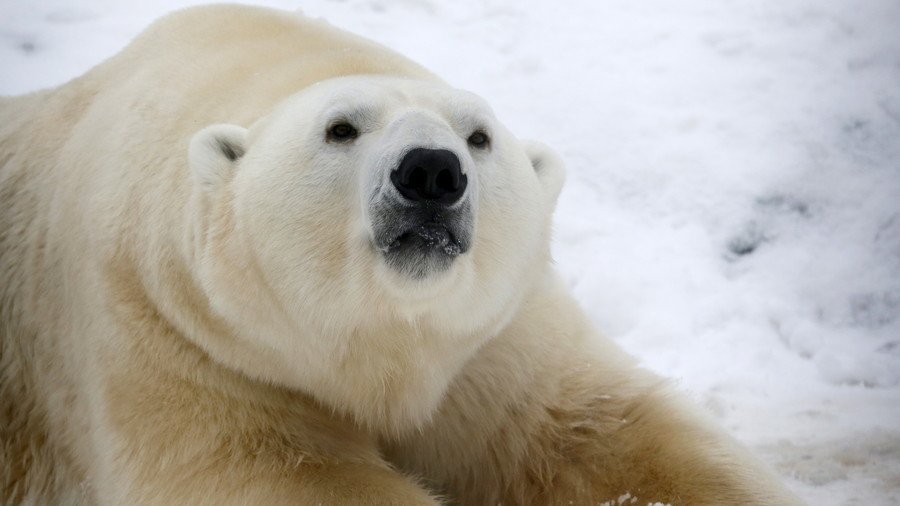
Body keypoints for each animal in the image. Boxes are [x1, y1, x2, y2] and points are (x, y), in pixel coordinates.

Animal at [0, 4, 800, 506]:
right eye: (340, 128)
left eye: (479, 136)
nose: (431, 172)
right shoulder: (182, 344)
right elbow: (278, 478)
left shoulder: (496, 347)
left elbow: (610, 440)